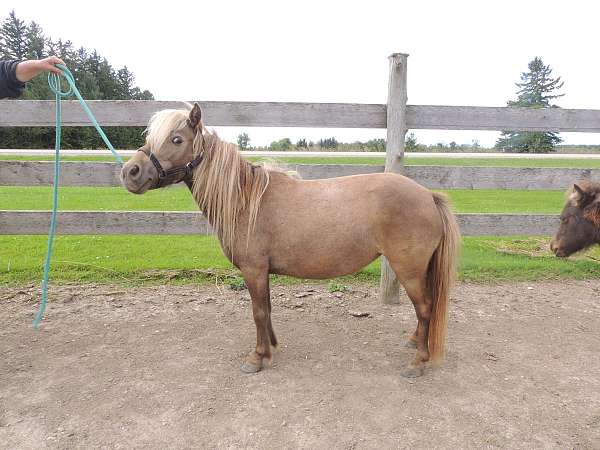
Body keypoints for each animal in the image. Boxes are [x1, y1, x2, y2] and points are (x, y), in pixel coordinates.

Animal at [120, 103, 460, 378]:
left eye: (177, 139)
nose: (130, 172)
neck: (246, 201)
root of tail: (428, 196)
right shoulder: (262, 273)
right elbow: (267, 309)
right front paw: (271, 346)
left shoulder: (254, 270)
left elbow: (258, 312)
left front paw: (256, 358)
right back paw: (414, 342)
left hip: (409, 269)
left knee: (425, 307)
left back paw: (418, 362)